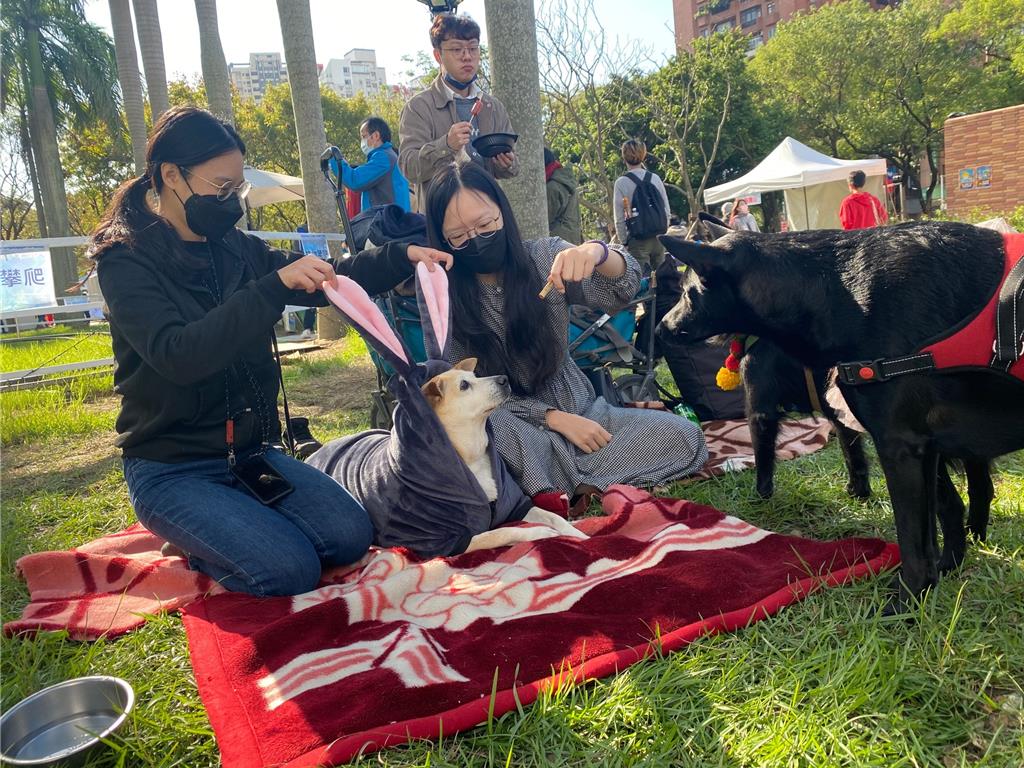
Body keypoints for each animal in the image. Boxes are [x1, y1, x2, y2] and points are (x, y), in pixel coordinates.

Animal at [421, 360, 585, 552]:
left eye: (476, 376)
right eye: (464, 385)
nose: (504, 379)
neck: (474, 455)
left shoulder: (518, 506)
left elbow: (554, 517)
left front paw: (580, 534)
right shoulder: (450, 542)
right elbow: (501, 532)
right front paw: (539, 532)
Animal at [659, 222, 1019, 614]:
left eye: (688, 293)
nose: (661, 327)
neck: (834, 292)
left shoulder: (897, 446)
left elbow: (912, 541)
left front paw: (904, 603)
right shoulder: (922, 448)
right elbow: (941, 518)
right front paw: (939, 576)